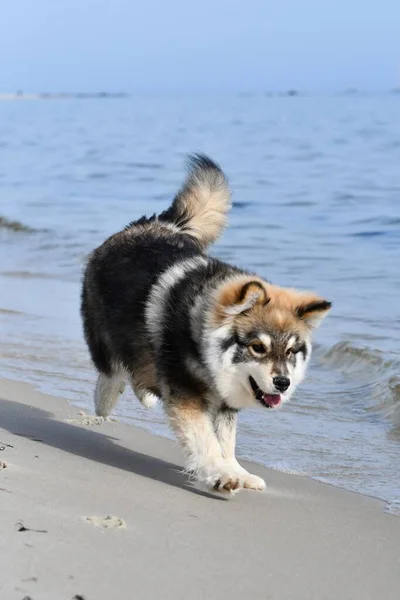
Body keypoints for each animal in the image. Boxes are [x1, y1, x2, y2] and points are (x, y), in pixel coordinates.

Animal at [81, 154, 332, 492]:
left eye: (292, 351)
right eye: (257, 347)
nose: (283, 383)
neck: (199, 331)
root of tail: (155, 223)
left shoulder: (223, 400)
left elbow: (226, 440)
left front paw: (237, 471)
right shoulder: (186, 393)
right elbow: (206, 440)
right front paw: (221, 473)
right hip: (107, 330)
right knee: (111, 368)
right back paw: (106, 399)